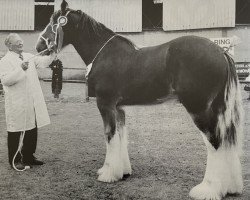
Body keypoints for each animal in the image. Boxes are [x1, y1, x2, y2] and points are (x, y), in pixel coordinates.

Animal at [36, 0, 243, 199]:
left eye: (54, 22)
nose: (39, 46)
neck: (104, 54)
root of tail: (221, 51)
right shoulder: (119, 108)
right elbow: (121, 136)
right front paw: (122, 172)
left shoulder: (105, 104)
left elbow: (110, 136)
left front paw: (108, 174)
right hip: (217, 108)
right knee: (226, 140)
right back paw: (229, 188)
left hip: (199, 109)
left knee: (214, 142)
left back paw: (208, 190)